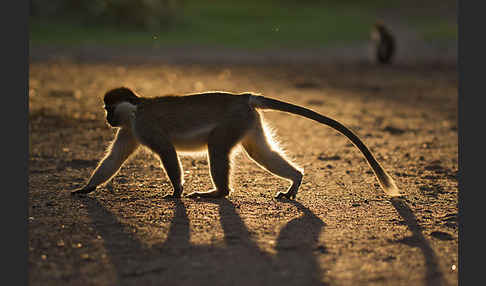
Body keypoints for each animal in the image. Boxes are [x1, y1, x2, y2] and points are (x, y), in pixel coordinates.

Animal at [69, 87, 402, 199]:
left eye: (109, 109)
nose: (108, 119)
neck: (135, 110)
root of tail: (242, 96)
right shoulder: (129, 129)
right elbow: (114, 158)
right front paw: (86, 188)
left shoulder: (144, 126)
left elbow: (166, 150)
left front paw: (176, 191)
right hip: (247, 122)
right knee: (259, 151)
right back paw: (295, 180)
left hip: (233, 121)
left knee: (217, 147)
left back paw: (219, 193)